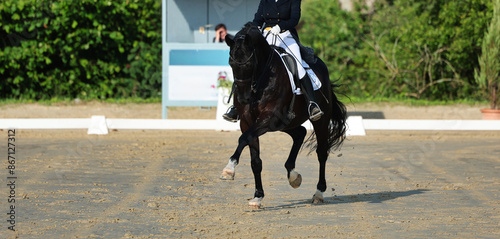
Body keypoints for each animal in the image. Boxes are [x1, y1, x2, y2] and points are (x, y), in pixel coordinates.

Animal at [221, 22, 346, 209]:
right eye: (230, 63)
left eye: (250, 63)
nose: (243, 98)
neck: (261, 79)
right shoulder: (248, 122)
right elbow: (255, 161)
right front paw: (257, 197)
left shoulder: (267, 118)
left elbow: (243, 139)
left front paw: (229, 168)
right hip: (284, 123)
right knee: (300, 133)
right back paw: (293, 176)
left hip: (320, 121)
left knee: (321, 152)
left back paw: (318, 192)